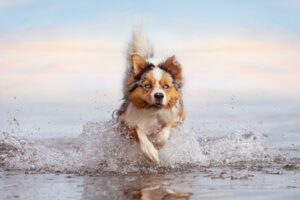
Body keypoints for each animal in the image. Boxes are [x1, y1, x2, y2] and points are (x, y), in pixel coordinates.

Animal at [115, 26, 184, 164]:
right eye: (147, 85)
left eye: (166, 86)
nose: (159, 95)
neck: (152, 112)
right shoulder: (125, 120)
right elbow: (138, 131)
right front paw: (151, 152)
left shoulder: (177, 117)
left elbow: (167, 127)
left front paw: (158, 141)